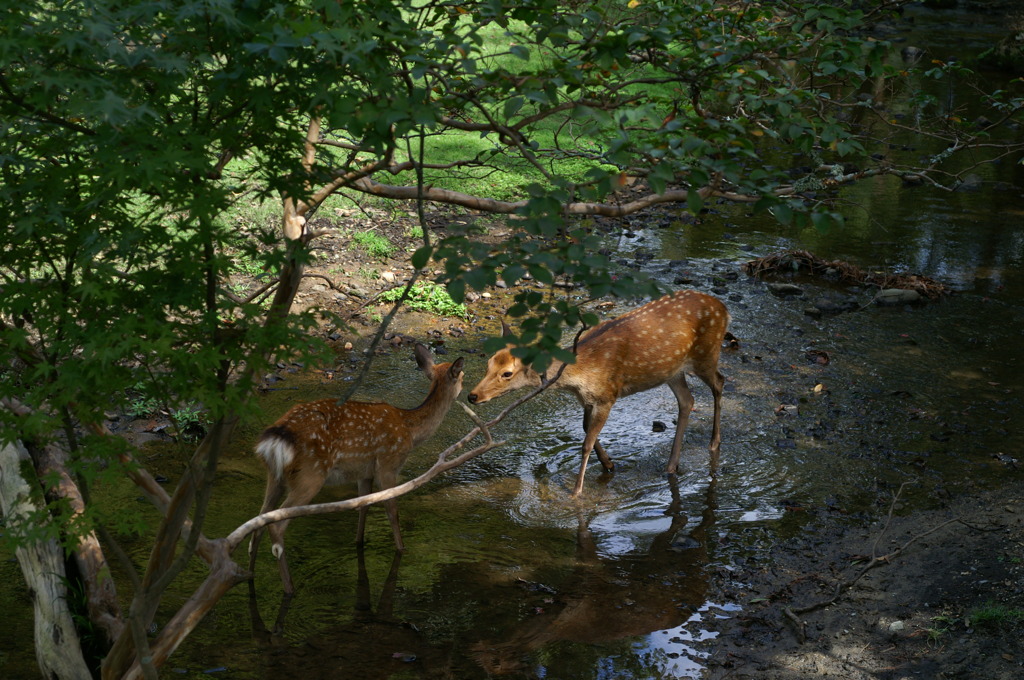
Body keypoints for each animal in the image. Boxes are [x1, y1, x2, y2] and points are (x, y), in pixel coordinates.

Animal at [249, 342, 466, 593]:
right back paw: (289, 588)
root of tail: (275, 438)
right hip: (310, 475)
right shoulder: (388, 464)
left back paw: (248, 577)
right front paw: (401, 549)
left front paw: (359, 542)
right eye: (462, 376)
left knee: (258, 522)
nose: (467, 393)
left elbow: (363, 506)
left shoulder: (364, 472)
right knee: (276, 526)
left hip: (275, 477)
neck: (410, 430)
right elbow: (392, 510)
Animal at [468, 288, 733, 497]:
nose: (472, 395)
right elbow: (586, 429)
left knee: (719, 382)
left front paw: (576, 492)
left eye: (507, 373)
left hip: (706, 354)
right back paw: (671, 466)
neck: (579, 373)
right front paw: (609, 464)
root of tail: (723, 308)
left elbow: (586, 443)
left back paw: (713, 443)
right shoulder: (586, 399)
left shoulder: (608, 394)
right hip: (673, 371)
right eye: (489, 363)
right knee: (687, 400)